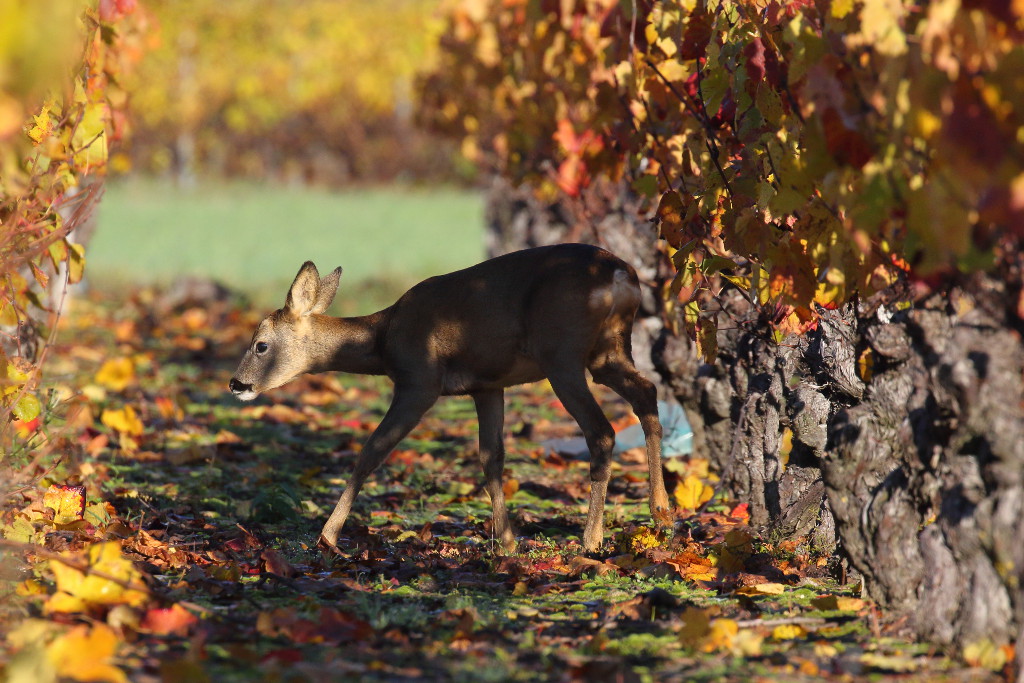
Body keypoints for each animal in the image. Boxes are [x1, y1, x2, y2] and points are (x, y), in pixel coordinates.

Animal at [234, 242, 671, 552]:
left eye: (260, 345)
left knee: (602, 431)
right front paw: (506, 543)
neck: (384, 338)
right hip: (608, 351)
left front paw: (327, 536)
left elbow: (372, 451)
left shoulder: (419, 379)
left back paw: (592, 539)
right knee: (646, 394)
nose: (236, 384)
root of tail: (620, 273)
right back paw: (662, 513)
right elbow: (491, 457)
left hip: (561, 353)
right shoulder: (488, 385)